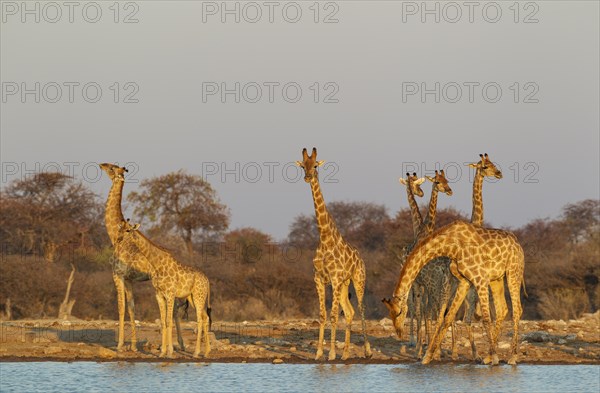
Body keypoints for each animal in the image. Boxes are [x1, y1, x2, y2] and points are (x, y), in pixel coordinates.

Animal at [99, 162, 186, 352]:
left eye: (112, 168)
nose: (101, 165)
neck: (114, 235)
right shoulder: (129, 279)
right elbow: (131, 308)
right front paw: (132, 345)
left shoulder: (117, 275)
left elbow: (121, 307)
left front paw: (120, 345)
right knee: (176, 307)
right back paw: (178, 345)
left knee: (174, 307)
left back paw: (176, 345)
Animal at [116, 219, 212, 356]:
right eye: (120, 229)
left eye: (128, 230)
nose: (118, 239)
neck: (157, 264)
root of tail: (207, 280)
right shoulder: (159, 294)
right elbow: (162, 321)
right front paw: (163, 352)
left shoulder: (170, 294)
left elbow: (168, 321)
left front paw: (170, 351)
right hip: (194, 298)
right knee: (205, 317)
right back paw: (207, 352)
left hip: (199, 297)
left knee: (199, 319)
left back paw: (196, 352)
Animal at [296, 148, 370, 362]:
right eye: (303, 166)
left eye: (316, 165)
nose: (308, 177)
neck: (324, 238)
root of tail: (361, 259)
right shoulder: (319, 278)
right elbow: (322, 315)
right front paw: (319, 353)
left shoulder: (335, 279)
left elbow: (333, 315)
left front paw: (330, 354)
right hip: (344, 284)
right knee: (350, 311)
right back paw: (345, 354)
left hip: (358, 279)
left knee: (360, 309)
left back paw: (367, 351)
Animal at [384, 220, 524, 364]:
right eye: (390, 314)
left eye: (399, 313)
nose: (399, 332)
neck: (451, 246)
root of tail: (518, 244)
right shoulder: (465, 281)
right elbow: (448, 317)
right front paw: (428, 356)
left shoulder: (480, 279)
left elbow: (485, 319)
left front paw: (496, 357)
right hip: (497, 278)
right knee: (502, 309)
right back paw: (488, 357)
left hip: (513, 271)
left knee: (517, 309)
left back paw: (512, 357)